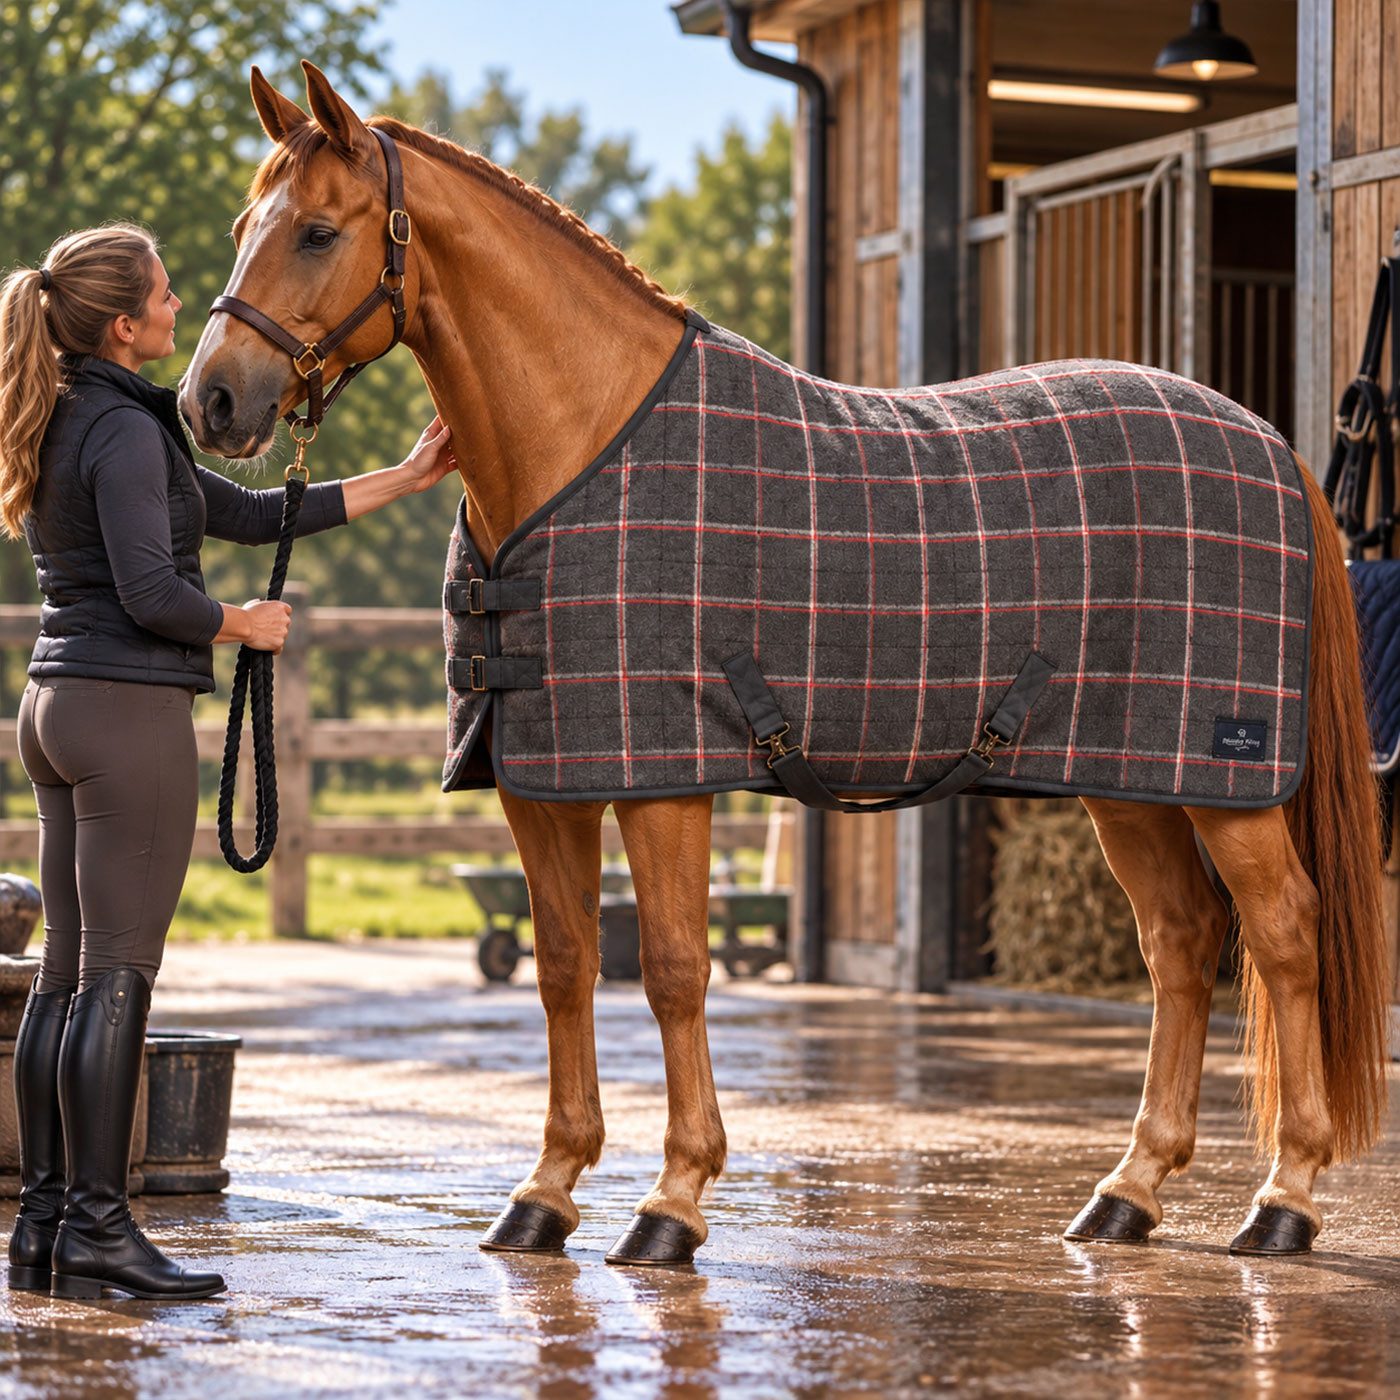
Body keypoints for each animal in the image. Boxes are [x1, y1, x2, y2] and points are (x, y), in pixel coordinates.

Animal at [180, 62, 1391, 1266]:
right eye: (241, 226)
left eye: (319, 232)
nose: (212, 402)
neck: (580, 444)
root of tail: (1271, 447)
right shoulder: (541, 780)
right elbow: (565, 964)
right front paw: (545, 1192)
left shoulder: (663, 779)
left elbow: (673, 968)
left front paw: (672, 1201)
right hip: (1127, 781)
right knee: (1181, 943)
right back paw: (1128, 1190)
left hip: (1228, 782)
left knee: (1284, 935)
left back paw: (1284, 1198)